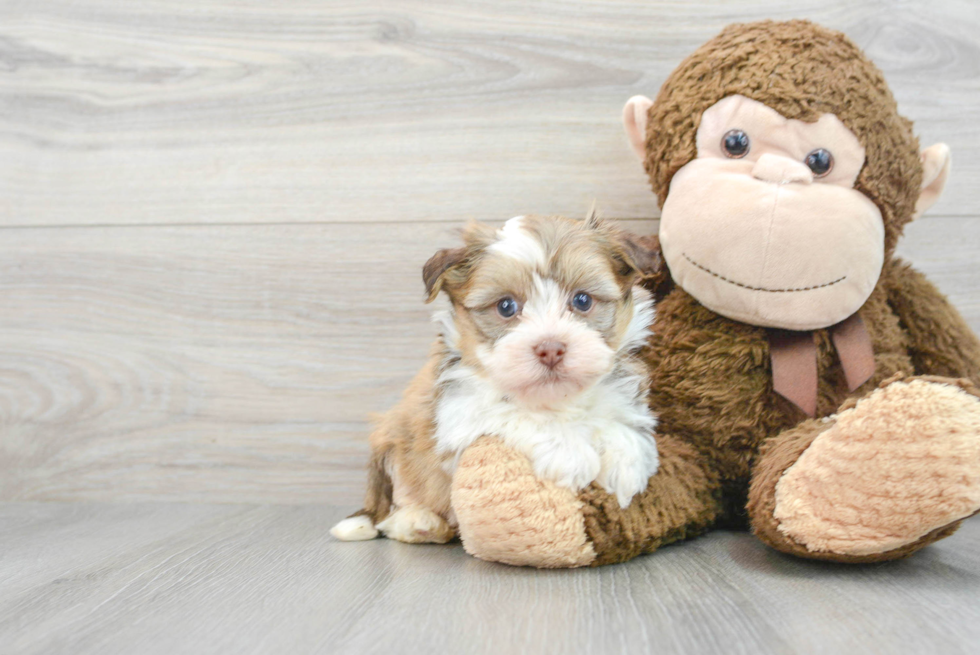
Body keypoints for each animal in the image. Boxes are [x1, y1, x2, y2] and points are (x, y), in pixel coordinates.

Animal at [334, 214, 664, 544]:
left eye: (582, 300)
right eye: (506, 306)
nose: (551, 349)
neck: (555, 398)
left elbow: (618, 417)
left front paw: (626, 462)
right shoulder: (458, 411)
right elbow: (514, 412)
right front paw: (570, 453)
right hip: (392, 444)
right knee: (392, 508)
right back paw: (417, 520)